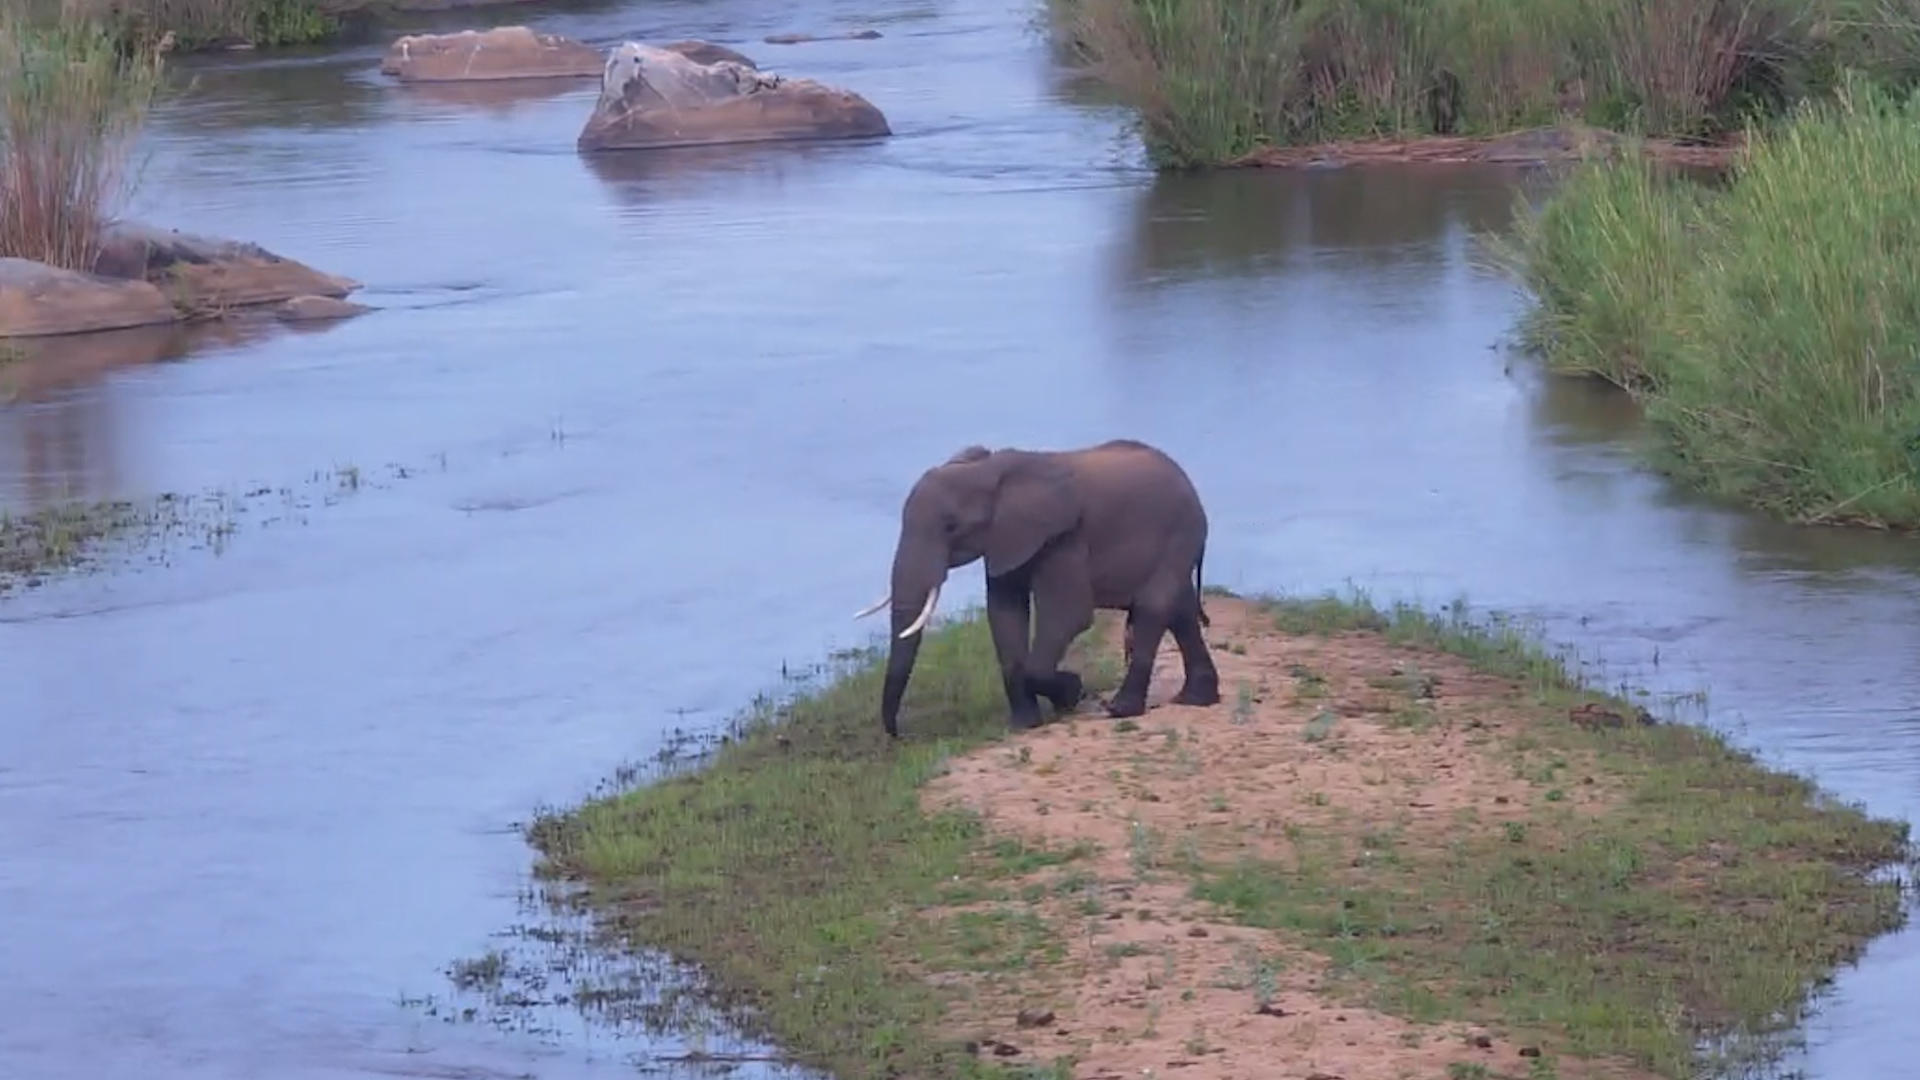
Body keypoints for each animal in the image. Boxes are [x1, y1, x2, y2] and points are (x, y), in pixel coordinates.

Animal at [853, 438, 1222, 738]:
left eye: (950, 526)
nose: (898, 736)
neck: (989, 469)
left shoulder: (1064, 536)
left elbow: (1068, 615)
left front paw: (1072, 693)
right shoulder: (1005, 537)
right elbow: (1004, 613)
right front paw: (1025, 724)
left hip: (1181, 532)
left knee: (1153, 608)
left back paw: (1120, 710)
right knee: (1180, 611)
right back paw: (1194, 700)